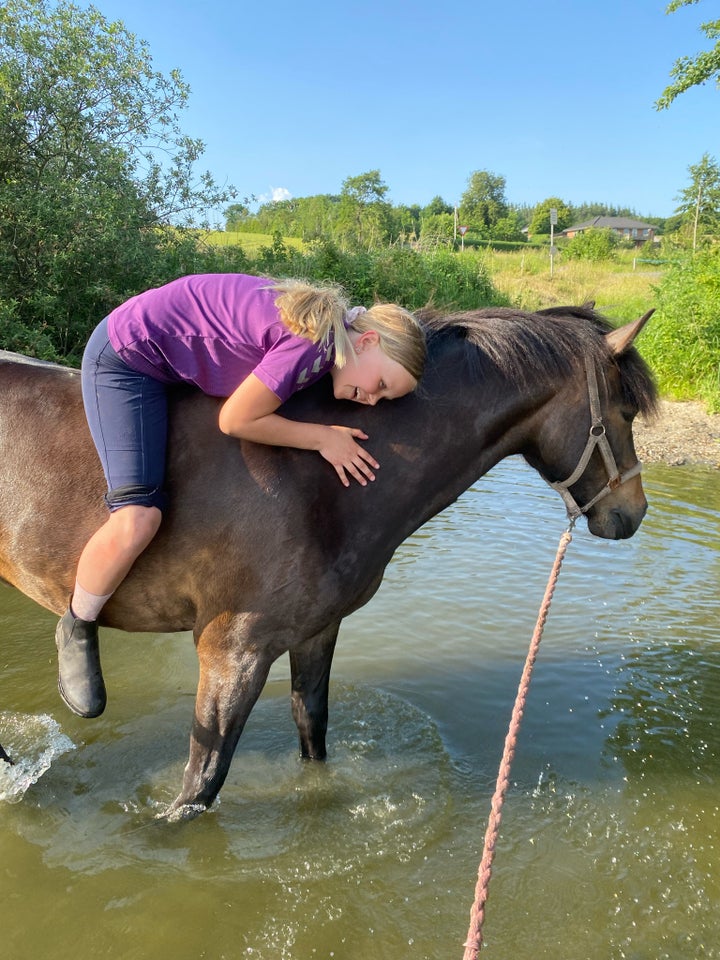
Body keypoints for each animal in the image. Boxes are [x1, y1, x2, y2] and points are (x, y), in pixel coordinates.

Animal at [0, 304, 656, 812]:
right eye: (625, 413)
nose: (634, 513)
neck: (310, 479)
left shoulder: (315, 631)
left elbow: (311, 731)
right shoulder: (232, 651)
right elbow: (199, 787)